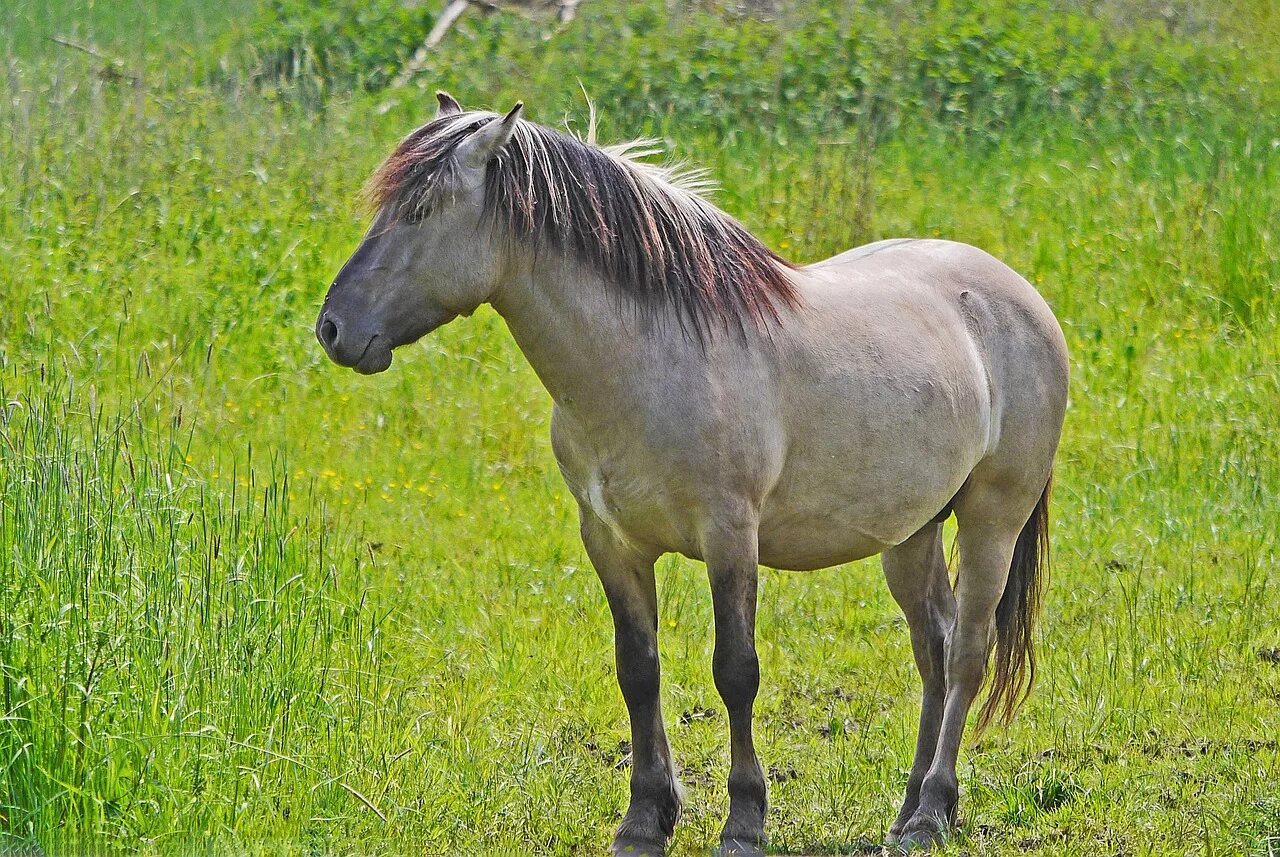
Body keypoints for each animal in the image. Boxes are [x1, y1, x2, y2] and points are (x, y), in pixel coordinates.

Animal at [314, 90, 1064, 854]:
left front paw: (744, 820)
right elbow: (638, 670)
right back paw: (908, 809)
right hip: (910, 531)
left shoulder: (730, 536)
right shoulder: (611, 541)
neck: (648, 360)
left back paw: (934, 810)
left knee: (967, 649)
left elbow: (736, 672)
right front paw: (646, 818)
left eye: (421, 210)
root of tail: (1016, 294)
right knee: (932, 646)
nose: (334, 329)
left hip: (991, 519)